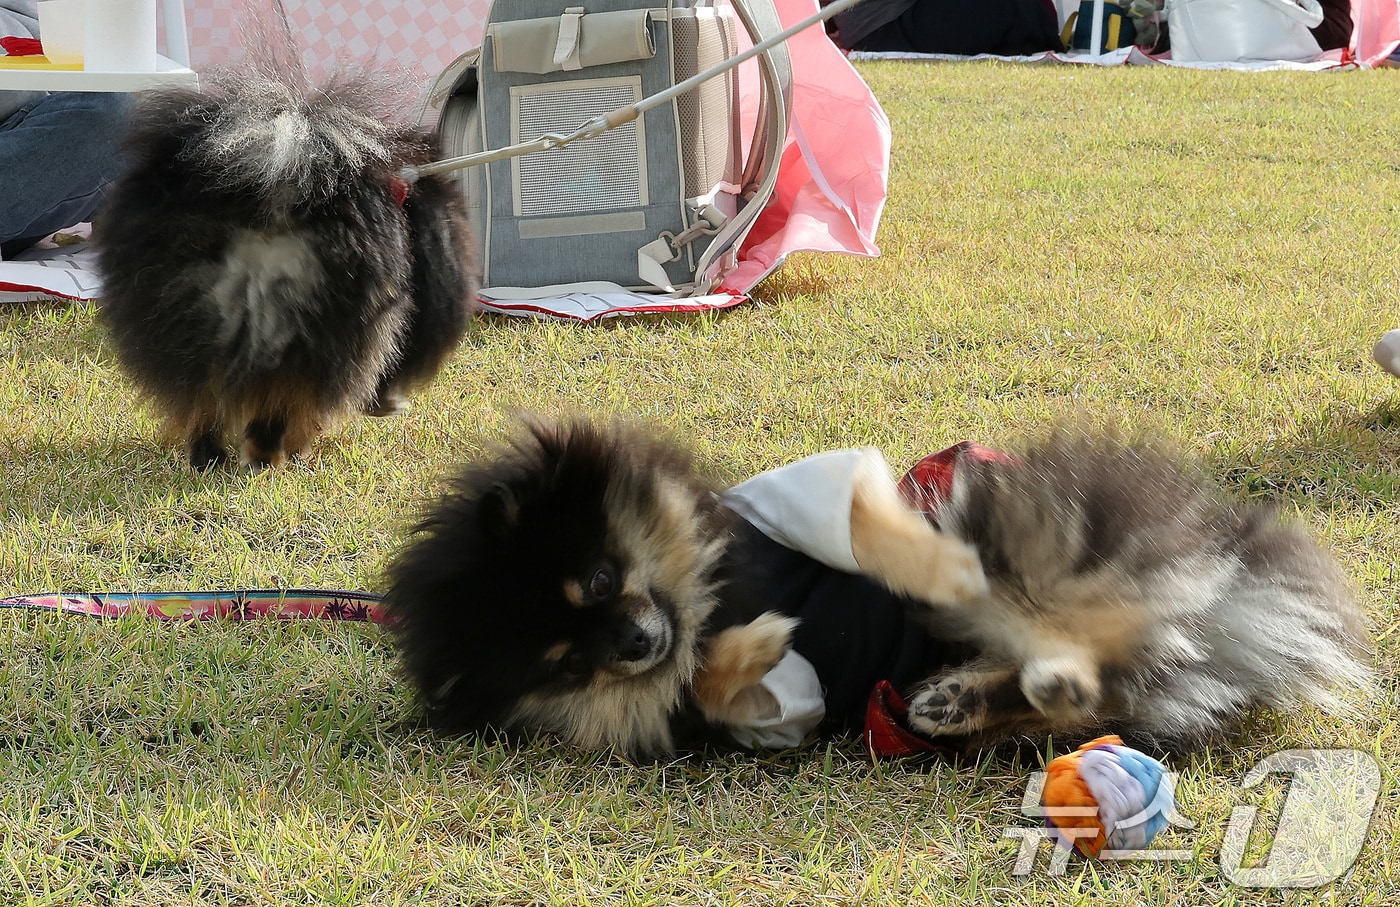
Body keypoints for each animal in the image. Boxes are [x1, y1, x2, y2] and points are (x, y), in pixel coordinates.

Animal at [94, 59, 476, 467]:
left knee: (202, 396)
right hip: (314, 327)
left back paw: (208, 456)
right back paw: (267, 456)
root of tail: (277, 194)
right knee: (283, 395)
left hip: (177, 309)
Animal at [380, 417, 1366, 755]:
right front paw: (741, 647)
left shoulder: (803, 498)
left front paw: (939, 564)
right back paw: (962, 699)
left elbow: (866, 521)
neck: (694, 596)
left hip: (1039, 556)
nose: (635, 642)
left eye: (597, 576)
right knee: (1084, 688)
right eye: (566, 658)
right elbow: (724, 686)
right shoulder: (773, 714)